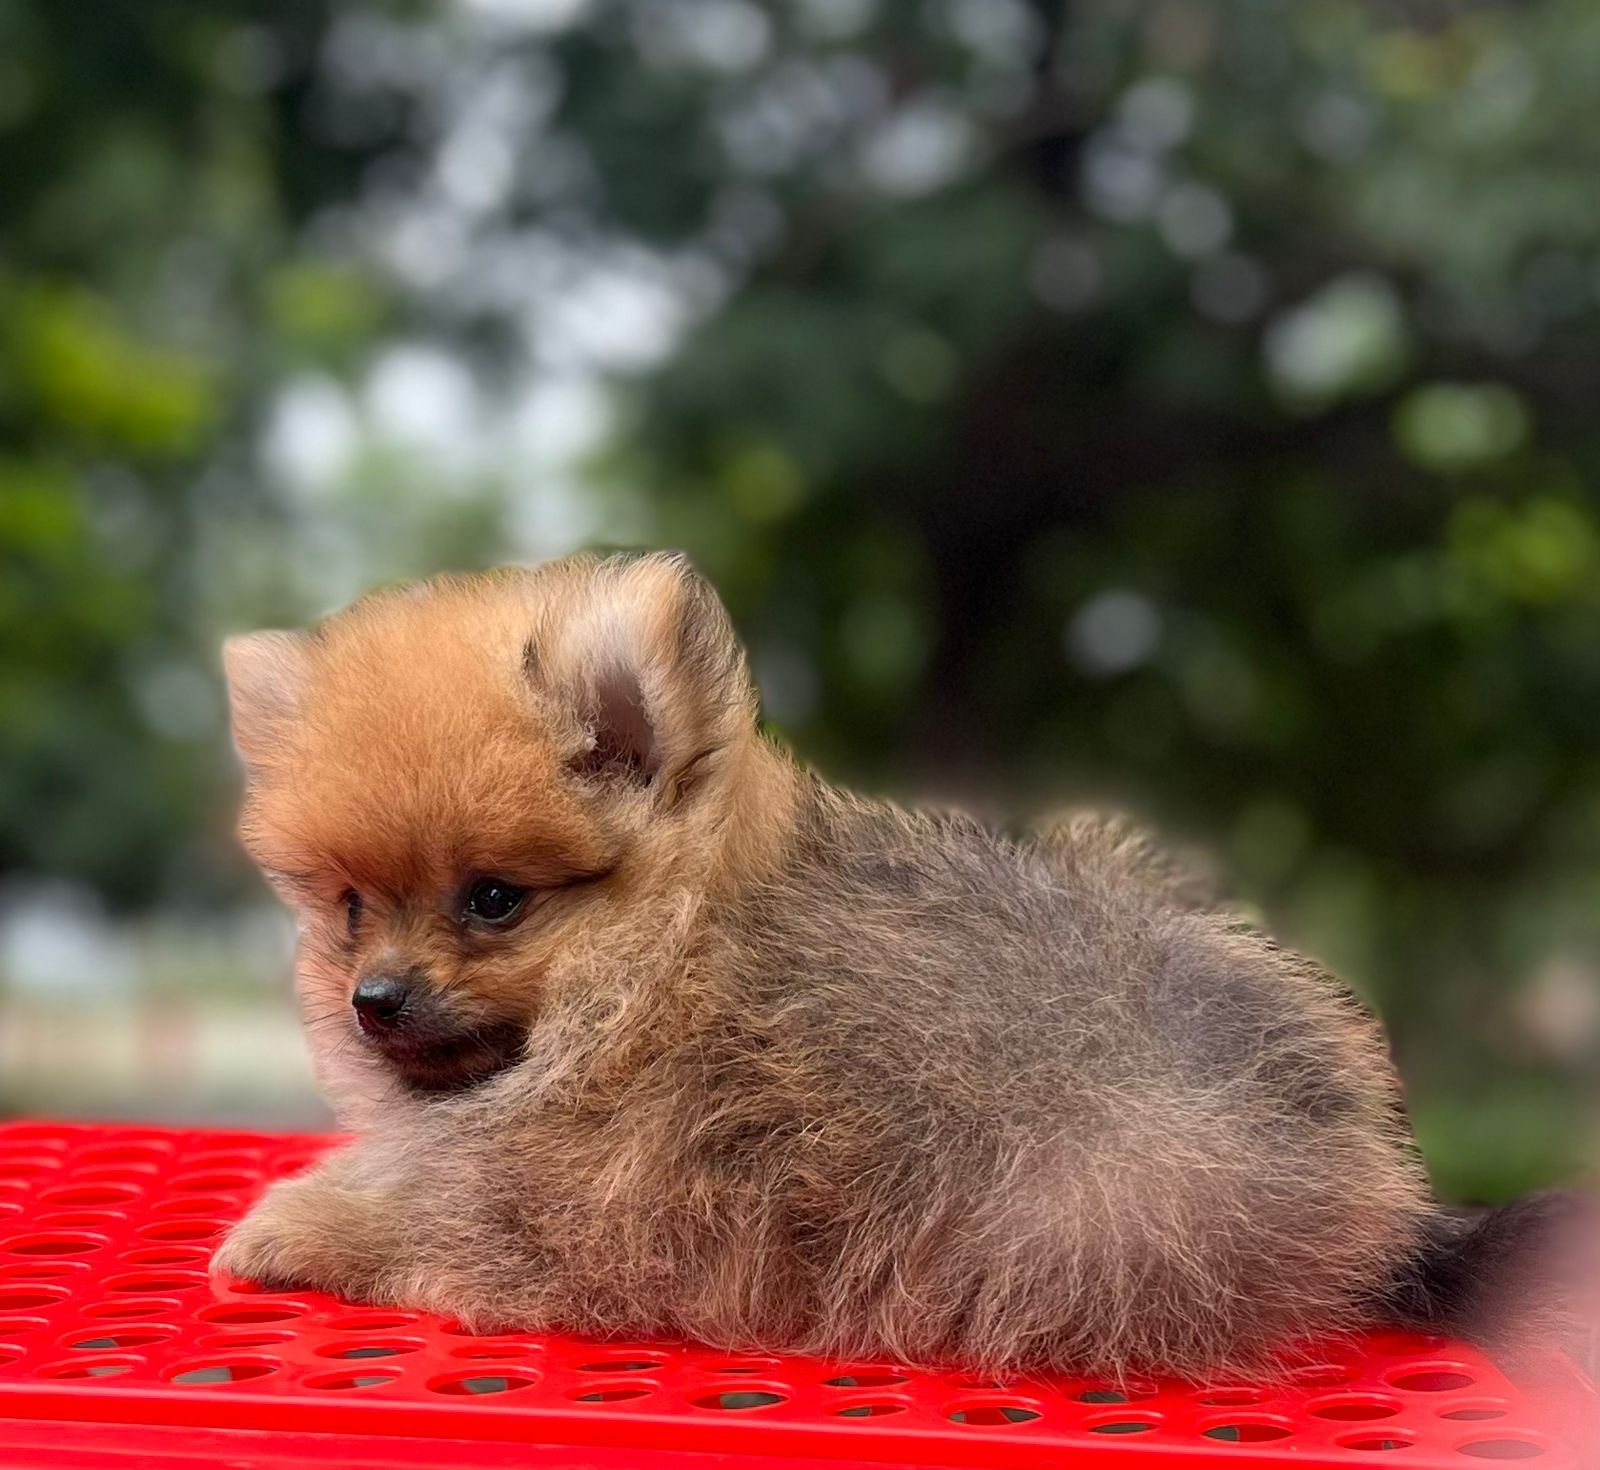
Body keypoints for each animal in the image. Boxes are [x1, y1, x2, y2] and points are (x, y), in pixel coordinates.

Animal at [212, 550, 1574, 1382]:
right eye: (349, 909)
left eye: (492, 901)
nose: (373, 999)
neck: (666, 964)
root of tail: (1374, 1194)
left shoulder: (612, 1210)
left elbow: (434, 1225)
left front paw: (290, 1227)